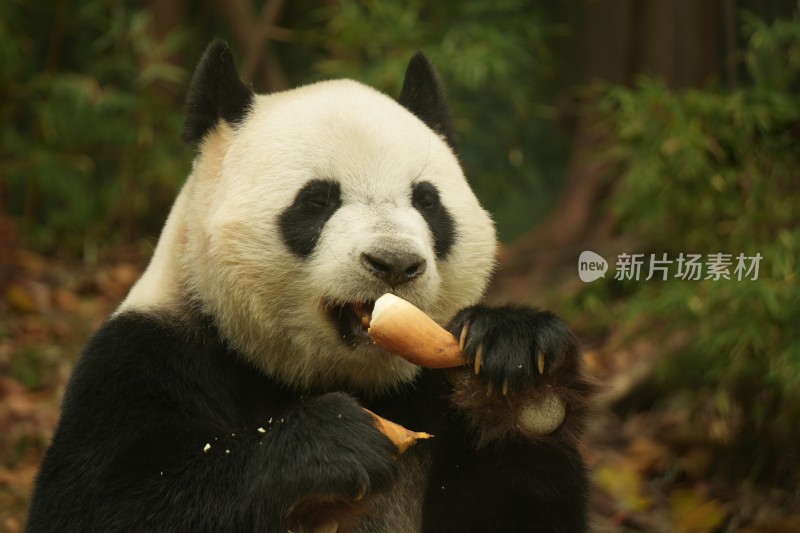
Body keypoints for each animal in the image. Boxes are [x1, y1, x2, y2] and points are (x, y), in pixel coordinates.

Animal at [26, 40, 592, 532]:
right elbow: (101, 504)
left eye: (428, 201)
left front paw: (519, 369)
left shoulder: (431, 394)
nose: (394, 263)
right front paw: (332, 444)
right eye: (317, 200)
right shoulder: (145, 360)